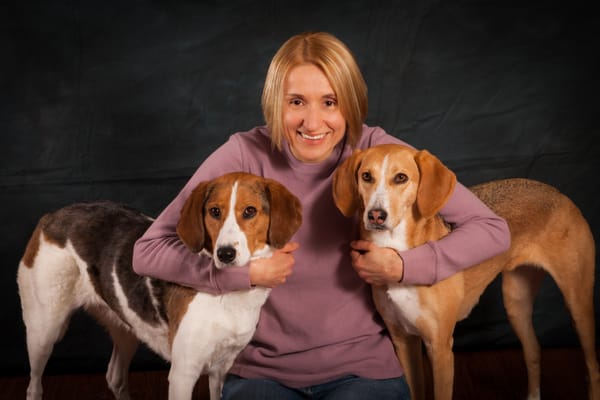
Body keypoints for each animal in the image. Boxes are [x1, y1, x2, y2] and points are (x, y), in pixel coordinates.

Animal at [16, 172, 302, 400]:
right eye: (214, 212)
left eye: (250, 211)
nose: (225, 254)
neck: (229, 297)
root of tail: (52, 216)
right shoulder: (183, 373)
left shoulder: (221, 368)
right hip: (43, 330)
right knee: (34, 386)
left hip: (126, 326)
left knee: (114, 377)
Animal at [332, 145, 600, 400]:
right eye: (366, 176)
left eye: (401, 178)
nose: (376, 215)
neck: (397, 253)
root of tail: (558, 193)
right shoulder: (404, 341)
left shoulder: (440, 348)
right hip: (516, 302)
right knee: (533, 351)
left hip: (577, 303)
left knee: (593, 367)